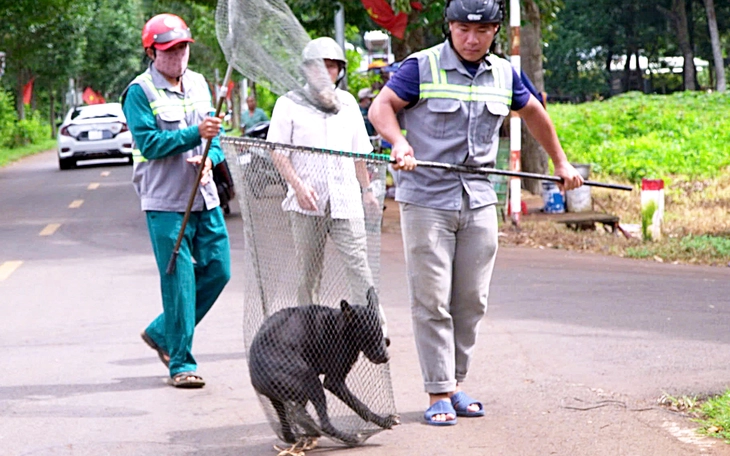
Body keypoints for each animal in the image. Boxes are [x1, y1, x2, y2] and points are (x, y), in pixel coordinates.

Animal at [249, 288, 398, 446]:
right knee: (323, 424)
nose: (385, 357)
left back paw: (302, 432)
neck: (341, 324)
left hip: (285, 397)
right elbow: (360, 406)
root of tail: (257, 375)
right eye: (367, 335)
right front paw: (383, 421)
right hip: (310, 381)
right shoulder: (334, 382)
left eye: (380, 333)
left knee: (292, 418)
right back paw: (348, 438)